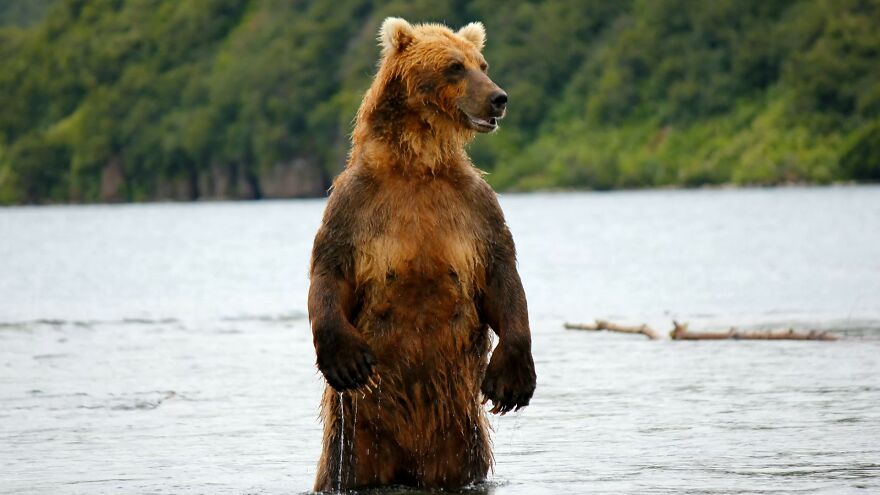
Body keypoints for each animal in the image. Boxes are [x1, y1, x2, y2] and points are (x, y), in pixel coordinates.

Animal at [307, 17, 536, 492]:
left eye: (482, 64)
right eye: (454, 66)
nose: (499, 98)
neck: (416, 164)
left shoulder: (474, 206)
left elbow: (501, 274)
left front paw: (512, 379)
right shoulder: (354, 204)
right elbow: (330, 268)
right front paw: (345, 358)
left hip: (458, 435)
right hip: (357, 433)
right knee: (343, 467)